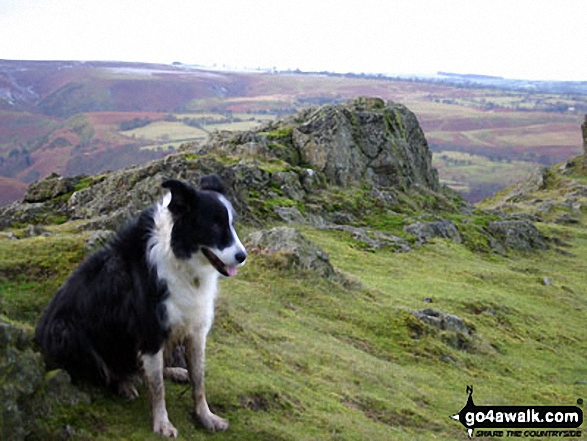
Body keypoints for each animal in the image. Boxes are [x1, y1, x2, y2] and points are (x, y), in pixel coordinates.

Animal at [35, 175, 246, 436]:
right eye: (214, 226)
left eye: (232, 224)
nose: (242, 256)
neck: (179, 259)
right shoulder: (150, 332)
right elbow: (157, 388)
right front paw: (162, 423)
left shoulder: (196, 329)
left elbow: (199, 379)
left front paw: (205, 417)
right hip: (65, 332)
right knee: (108, 371)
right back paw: (124, 383)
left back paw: (174, 371)